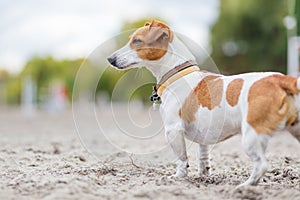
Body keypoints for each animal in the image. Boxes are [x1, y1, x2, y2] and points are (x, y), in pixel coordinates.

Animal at [106, 20, 298, 188]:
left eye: (137, 41)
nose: (110, 59)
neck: (178, 74)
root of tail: (281, 79)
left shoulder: (173, 130)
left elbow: (182, 159)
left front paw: (178, 177)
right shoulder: (203, 139)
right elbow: (203, 159)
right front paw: (204, 176)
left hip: (252, 135)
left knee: (262, 165)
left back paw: (245, 186)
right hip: (296, 129)